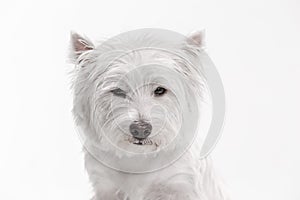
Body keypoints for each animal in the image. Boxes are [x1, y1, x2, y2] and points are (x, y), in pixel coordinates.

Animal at [68, 28, 227, 200]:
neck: (139, 159)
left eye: (160, 90)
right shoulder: (106, 186)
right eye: (118, 91)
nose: (140, 129)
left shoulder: (180, 185)